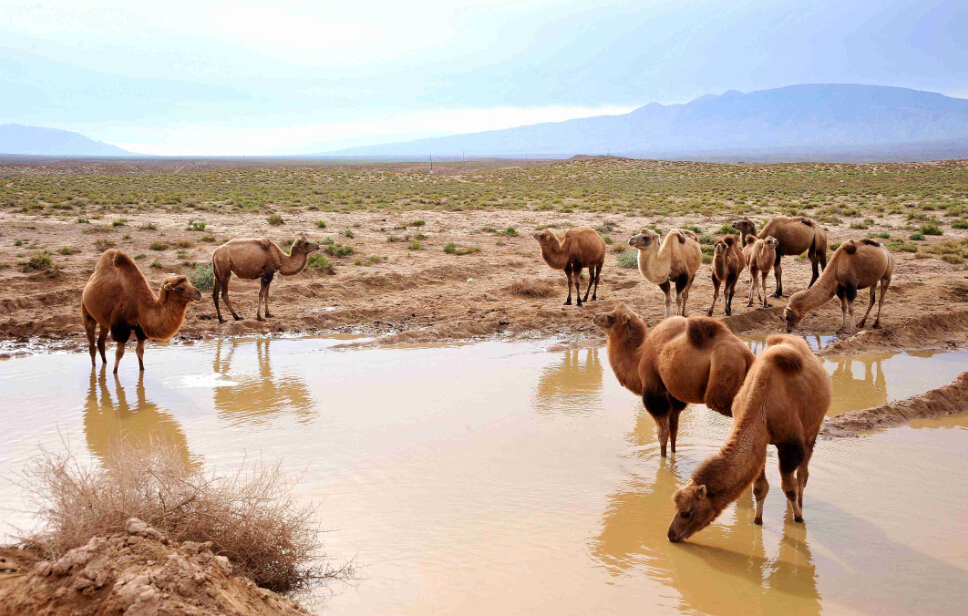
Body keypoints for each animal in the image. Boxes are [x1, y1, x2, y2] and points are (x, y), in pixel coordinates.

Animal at [588, 304, 756, 458]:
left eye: (611, 317)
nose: (595, 316)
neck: (638, 357)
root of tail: (746, 355)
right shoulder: (673, 396)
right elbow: (674, 430)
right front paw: (673, 459)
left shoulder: (653, 389)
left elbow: (662, 434)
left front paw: (663, 463)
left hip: (721, 389)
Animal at [664, 334, 832, 540]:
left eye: (685, 512)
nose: (671, 534)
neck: (762, 406)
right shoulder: (760, 443)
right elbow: (759, 487)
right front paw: (757, 521)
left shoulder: (790, 444)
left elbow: (789, 488)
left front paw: (799, 519)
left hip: (813, 428)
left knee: (802, 473)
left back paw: (799, 504)